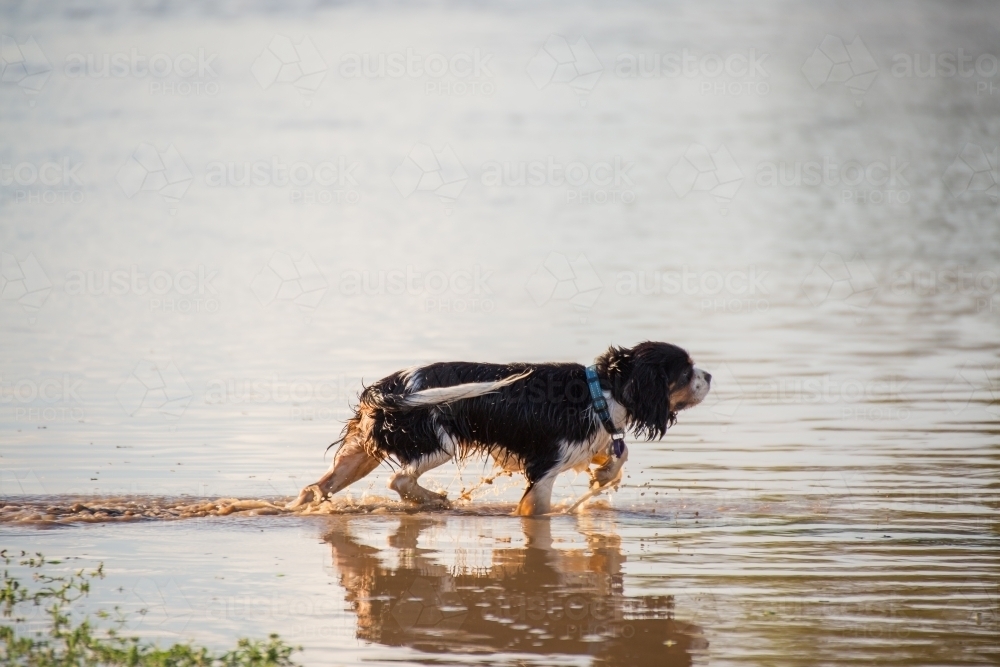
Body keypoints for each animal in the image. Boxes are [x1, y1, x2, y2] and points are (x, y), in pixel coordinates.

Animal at [288, 342, 712, 516]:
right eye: (686, 372)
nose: (709, 375)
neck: (602, 389)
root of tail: (385, 388)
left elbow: (616, 454)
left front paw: (604, 474)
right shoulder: (545, 466)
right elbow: (535, 508)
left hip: (362, 451)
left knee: (317, 487)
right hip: (435, 442)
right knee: (401, 481)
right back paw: (435, 501)